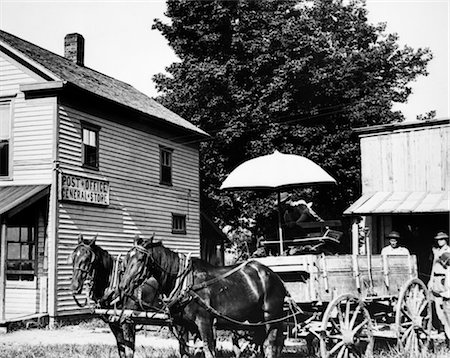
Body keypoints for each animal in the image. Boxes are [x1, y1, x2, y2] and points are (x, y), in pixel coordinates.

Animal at [118, 236, 286, 356]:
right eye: (126, 259)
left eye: (141, 259)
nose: (123, 286)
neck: (184, 282)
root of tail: (274, 275)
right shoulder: (181, 325)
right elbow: (184, 352)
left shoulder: (204, 322)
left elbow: (208, 350)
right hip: (255, 319)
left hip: (271, 317)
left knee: (271, 346)